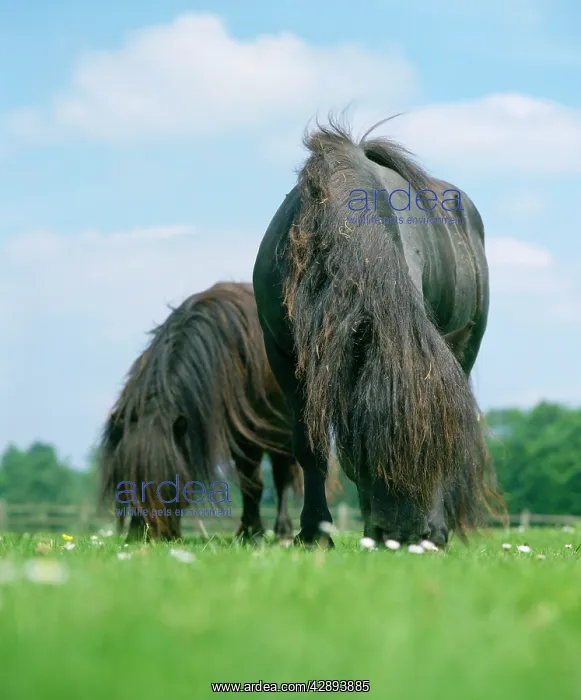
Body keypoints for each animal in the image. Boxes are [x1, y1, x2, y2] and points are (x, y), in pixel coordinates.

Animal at [98, 281, 303, 543]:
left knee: (281, 477)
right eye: (125, 481)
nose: (146, 538)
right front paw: (250, 532)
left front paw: (251, 533)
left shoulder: (249, 431)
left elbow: (253, 483)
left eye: (172, 482)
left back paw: (283, 531)